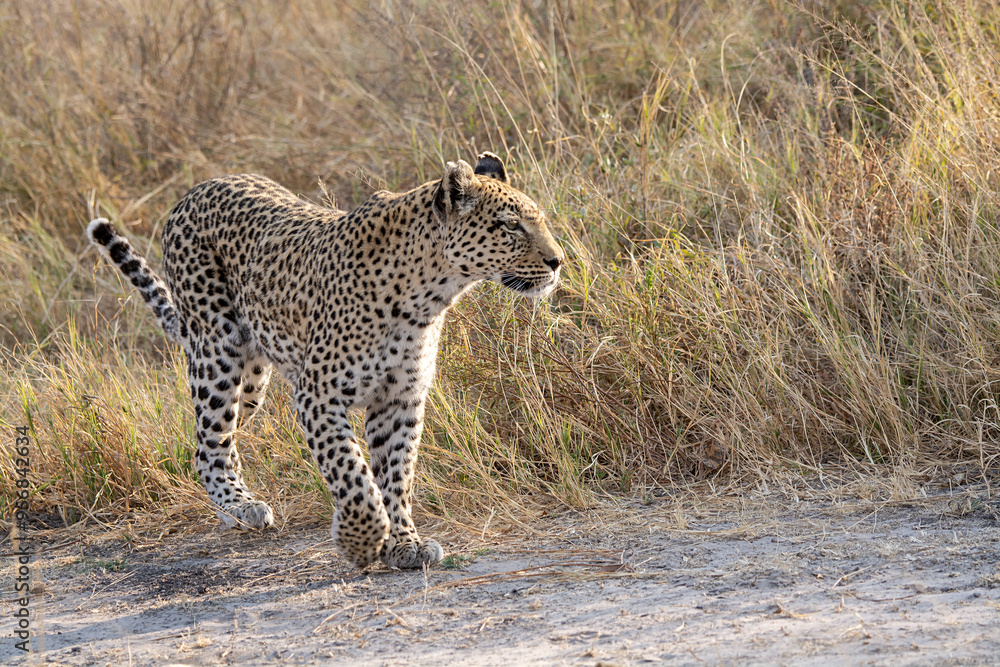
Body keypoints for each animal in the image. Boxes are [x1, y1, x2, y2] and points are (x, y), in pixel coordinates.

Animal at [86, 152, 564, 569]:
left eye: (538, 220)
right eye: (510, 226)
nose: (557, 261)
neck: (429, 296)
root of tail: (196, 190)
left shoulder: (400, 399)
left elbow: (396, 476)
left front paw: (404, 544)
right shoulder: (318, 395)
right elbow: (352, 473)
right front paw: (362, 540)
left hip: (253, 382)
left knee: (223, 437)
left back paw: (233, 505)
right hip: (219, 352)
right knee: (208, 444)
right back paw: (239, 506)